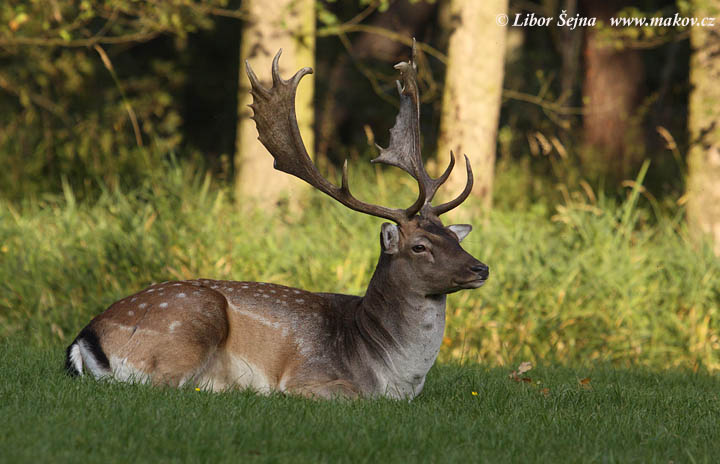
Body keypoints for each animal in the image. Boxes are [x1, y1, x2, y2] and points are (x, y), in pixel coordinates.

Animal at [66, 44, 490, 398]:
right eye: (420, 246)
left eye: (456, 240)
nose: (481, 268)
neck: (395, 378)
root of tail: (86, 336)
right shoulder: (310, 377)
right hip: (190, 320)